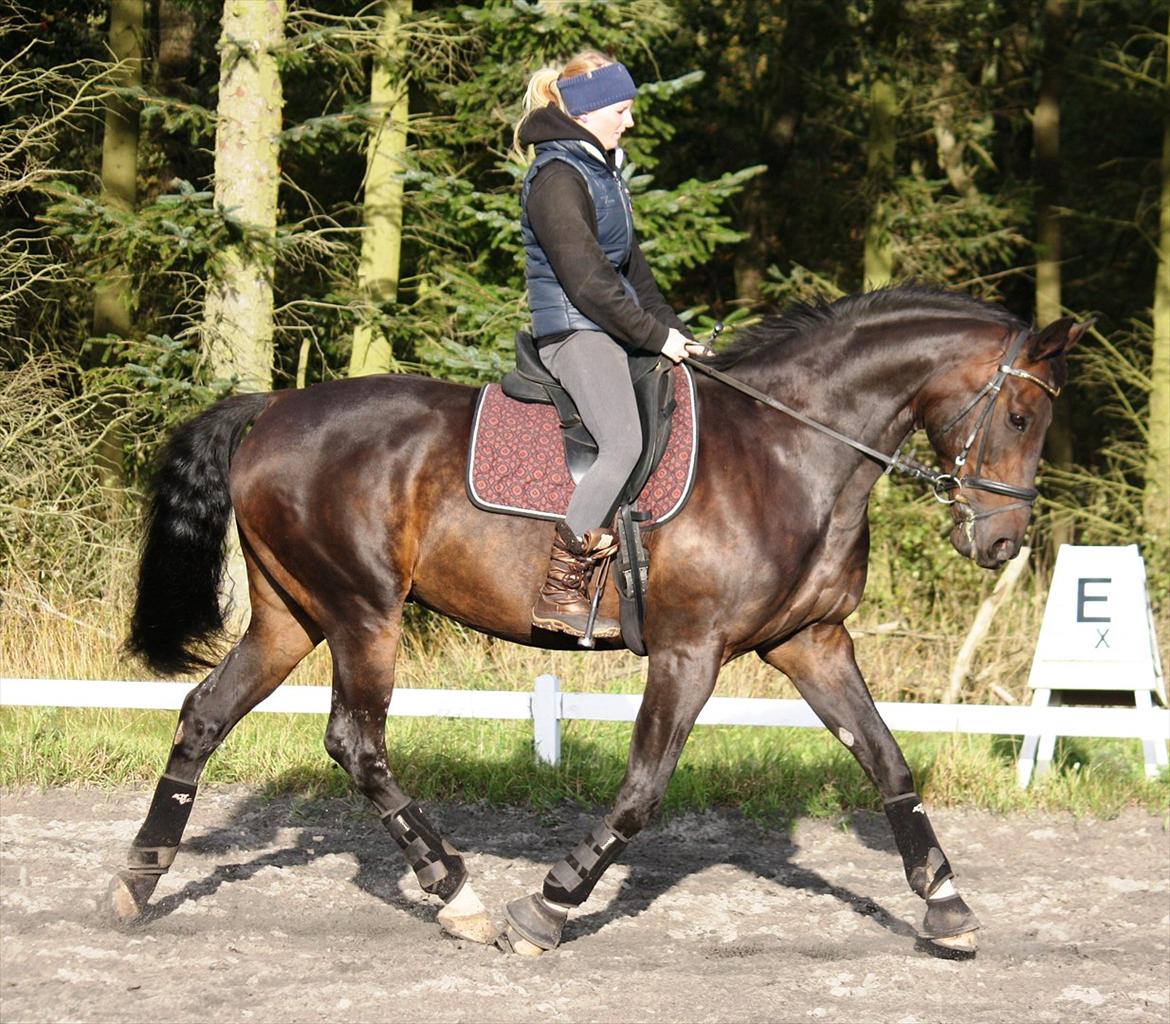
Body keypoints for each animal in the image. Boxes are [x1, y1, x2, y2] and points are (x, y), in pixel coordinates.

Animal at [111, 284, 1085, 954]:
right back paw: (457, 894)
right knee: (357, 744)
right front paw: (548, 906)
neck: (794, 450)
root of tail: (272, 406)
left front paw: (947, 905)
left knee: (205, 715)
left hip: (291, 617)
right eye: (1021, 415)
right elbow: (644, 790)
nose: (1001, 543)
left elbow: (887, 760)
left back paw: (138, 879)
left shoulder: (811, 643)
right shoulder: (692, 651)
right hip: (362, 614)